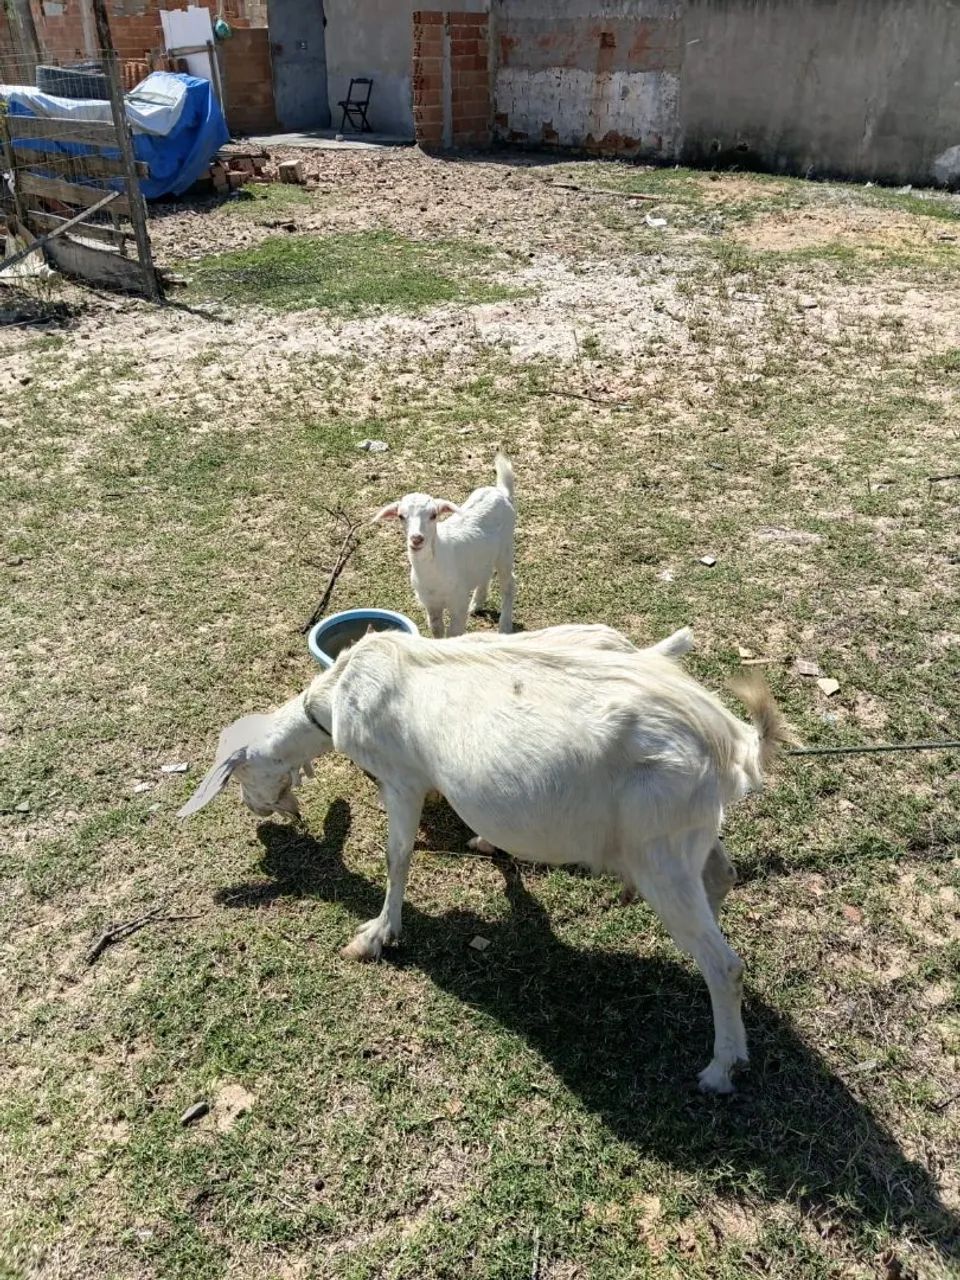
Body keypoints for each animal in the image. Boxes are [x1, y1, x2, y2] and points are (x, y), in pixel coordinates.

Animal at [181, 624, 788, 1092]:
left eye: (237, 776)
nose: (261, 815)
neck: (338, 696)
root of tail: (727, 739)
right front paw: (488, 851)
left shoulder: (401, 779)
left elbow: (397, 854)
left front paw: (378, 933)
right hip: (685, 836)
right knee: (722, 877)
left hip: (659, 849)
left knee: (725, 964)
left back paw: (719, 1069)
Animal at [373, 452, 516, 637]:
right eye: (400, 516)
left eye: (434, 515)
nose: (416, 538)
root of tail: (501, 492)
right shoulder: (431, 604)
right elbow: (437, 630)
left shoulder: (458, 603)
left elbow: (454, 633)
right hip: (486, 555)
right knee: (485, 573)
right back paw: (476, 604)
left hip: (506, 548)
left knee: (509, 584)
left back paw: (505, 626)